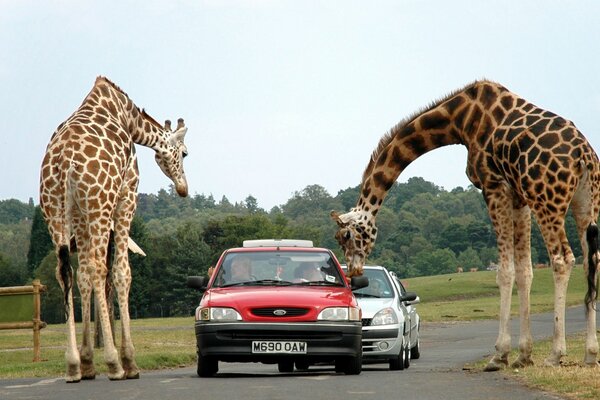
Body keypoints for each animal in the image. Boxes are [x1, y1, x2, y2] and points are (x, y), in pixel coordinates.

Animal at [39, 76, 189, 382]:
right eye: (185, 153)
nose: (183, 188)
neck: (129, 118)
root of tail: (63, 162)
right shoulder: (126, 194)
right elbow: (122, 272)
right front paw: (129, 361)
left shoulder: (80, 215)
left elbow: (82, 275)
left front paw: (87, 361)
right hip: (100, 204)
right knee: (100, 268)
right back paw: (115, 364)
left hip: (55, 210)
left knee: (66, 271)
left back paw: (73, 365)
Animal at [330, 79, 600, 370]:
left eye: (345, 236)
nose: (354, 272)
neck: (459, 120)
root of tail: (583, 157)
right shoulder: (518, 196)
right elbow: (524, 271)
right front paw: (523, 355)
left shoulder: (493, 185)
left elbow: (505, 272)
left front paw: (500, 354)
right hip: (585, 202)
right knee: (590, 260)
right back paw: (590, 353)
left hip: (547, 199)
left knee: (562, 258)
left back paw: (555, 354)